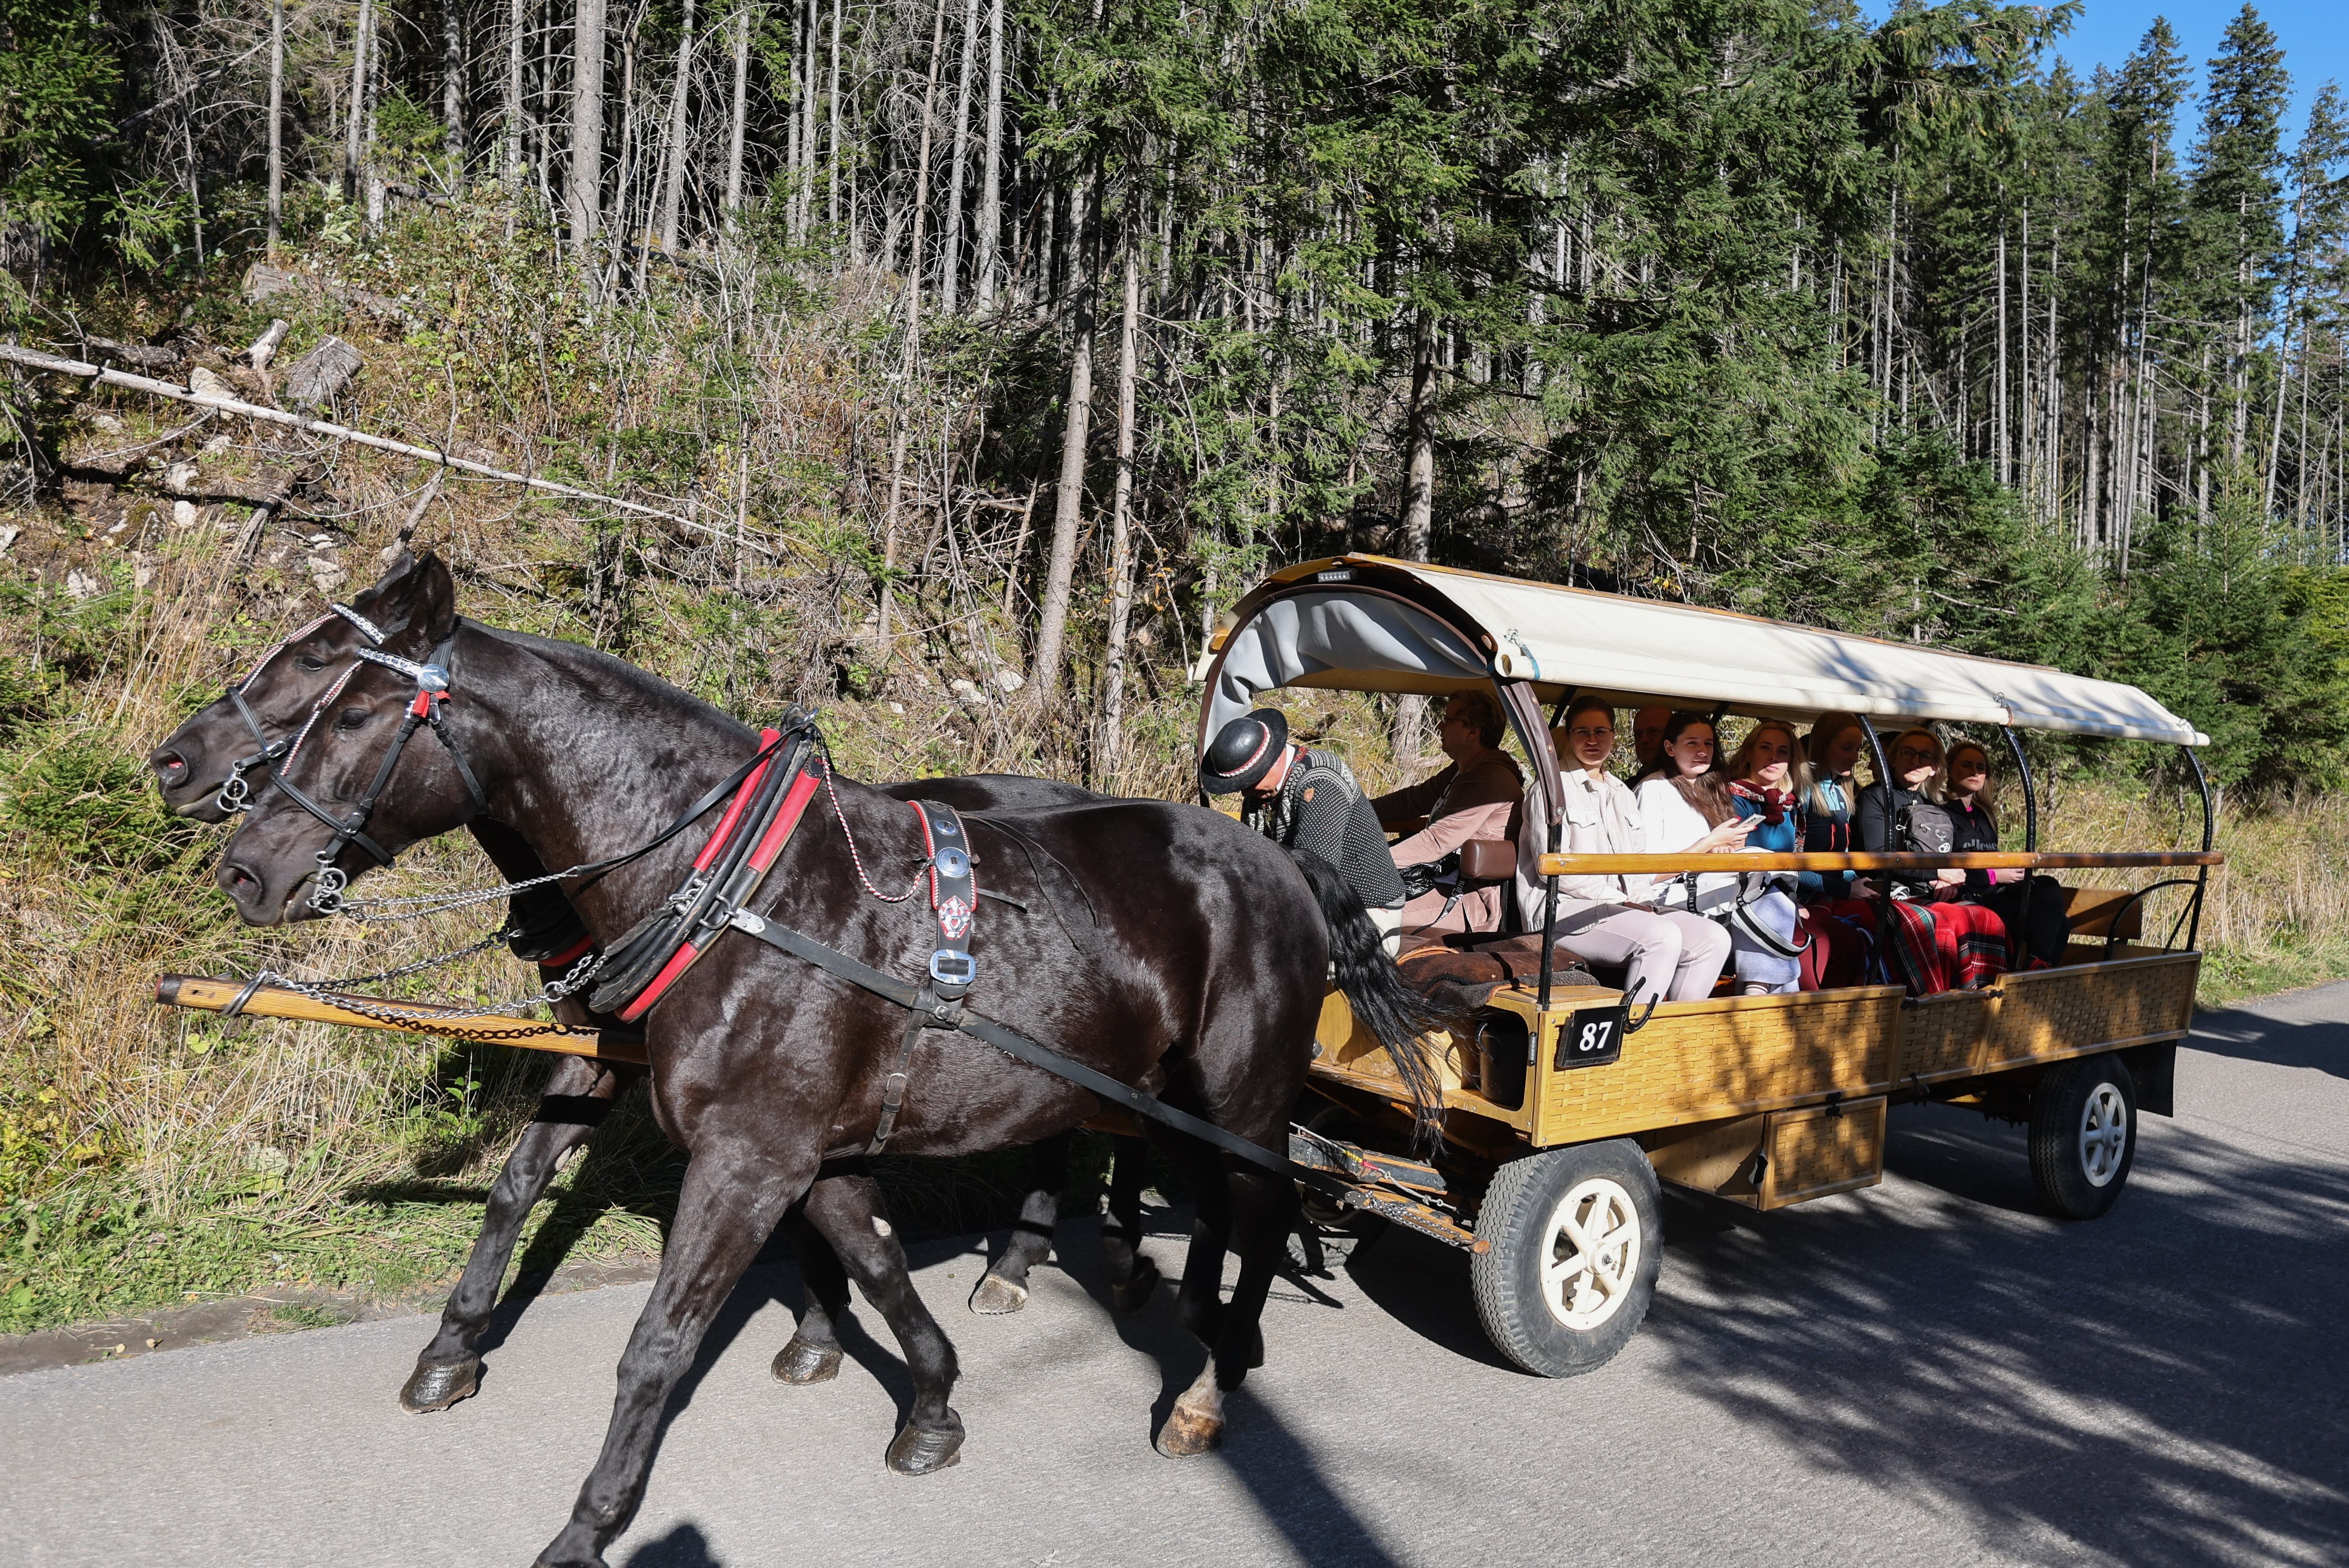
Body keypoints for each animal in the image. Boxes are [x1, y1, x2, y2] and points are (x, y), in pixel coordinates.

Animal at [202, 554, 1438, 1568]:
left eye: (355, 706)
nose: (242, 866)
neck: (731, 888)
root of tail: (1279, 864)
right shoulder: (792, 1144)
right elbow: (873, 1256)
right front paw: (928, 1402)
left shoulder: (747, 1158)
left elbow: (659, 1344)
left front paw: (588, 1525)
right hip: (1163, 1091)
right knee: (1210, 1203)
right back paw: (1178, 1306)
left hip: (1242, 1094)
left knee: (1262, 1208)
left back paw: (1209, 1384)